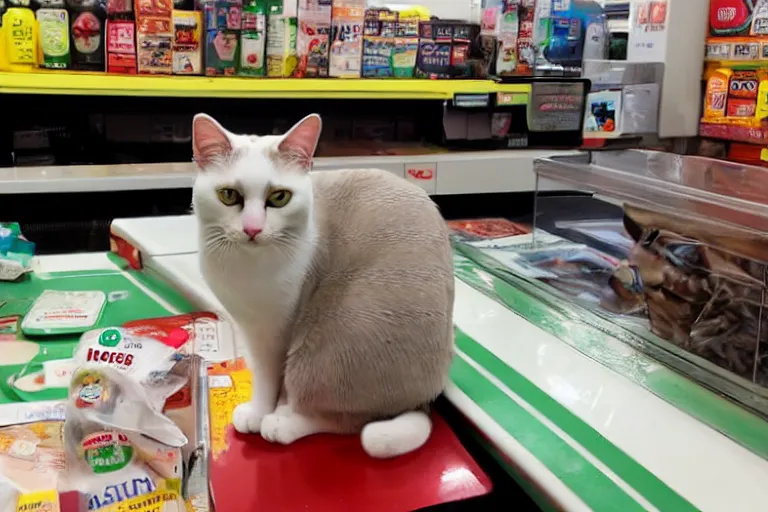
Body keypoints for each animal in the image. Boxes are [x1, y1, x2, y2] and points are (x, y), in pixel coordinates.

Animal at [192, 114, 456, 458]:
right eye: (229, 196)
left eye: (279, 197)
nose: (252, 229)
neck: (246, 267)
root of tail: (423, 399)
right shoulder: (247, 326)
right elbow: (258, 372)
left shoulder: (274, 333)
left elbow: (267, 378)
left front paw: (260, 412)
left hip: (331, 341)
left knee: (347, 421)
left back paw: (282, 423)